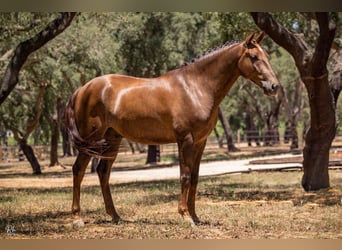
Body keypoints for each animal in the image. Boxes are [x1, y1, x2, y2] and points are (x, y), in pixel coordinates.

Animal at [65, 31, 280, 227]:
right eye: (254, 57)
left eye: (267, 56)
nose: (274, 86)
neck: (195, 87)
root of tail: (82, 89)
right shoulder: (185, 139)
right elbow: (184, 176)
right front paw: (185, 216)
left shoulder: (200, 142)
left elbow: (194, 177)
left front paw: (195, 216)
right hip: (91, 139)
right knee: (78, 170)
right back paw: (77, 218)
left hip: (112, 138)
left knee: (103, 172)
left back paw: (115, 216)